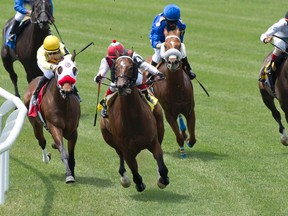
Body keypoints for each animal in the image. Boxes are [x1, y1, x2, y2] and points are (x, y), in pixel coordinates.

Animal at [22, 54, 80, 182]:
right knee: (42, 141)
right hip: (35, 124)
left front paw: (72, 172)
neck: (63, 104)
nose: (67, 90)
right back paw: (46, 158)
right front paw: (69, 175)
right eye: (59, 69)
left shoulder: (73, 131)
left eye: (74, 69)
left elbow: (71, 154)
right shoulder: (54, 127)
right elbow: (63, 152)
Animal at [100, 54, 170, 192]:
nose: (121, 86)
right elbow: (135, 174)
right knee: (120, 156)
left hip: (160, 127)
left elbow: (162, 166)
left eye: (131, 67)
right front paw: (137, 183)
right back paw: (124, 178)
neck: (133, 120)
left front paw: (162, 180)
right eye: (116, 67)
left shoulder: (153, 141)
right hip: (109, 138)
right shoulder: (126, 150)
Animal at [151, 28, 196, 157]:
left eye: (179, 44)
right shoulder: (169, 113)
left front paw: (188, 140)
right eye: (165, 45)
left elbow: (193, 138)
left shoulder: (190, 110)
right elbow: (178, 136)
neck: (177, 89)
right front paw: (182, 150)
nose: (173, 62)